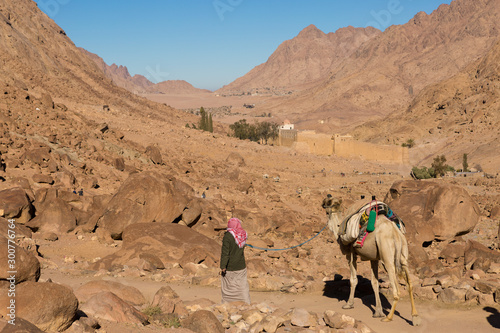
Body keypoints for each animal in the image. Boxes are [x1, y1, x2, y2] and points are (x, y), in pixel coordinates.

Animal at [322, 193, 420, 326]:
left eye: (329, 201)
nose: (327, 196)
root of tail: (395, 233)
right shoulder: (374, 258)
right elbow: (375, 282)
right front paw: (378, 312)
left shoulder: (351, 254)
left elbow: (353, 280)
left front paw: (348, 304)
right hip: (403, 254)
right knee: (410, 284)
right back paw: (415, 317)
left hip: (387, 255)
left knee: (396, 289)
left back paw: (388, 317)